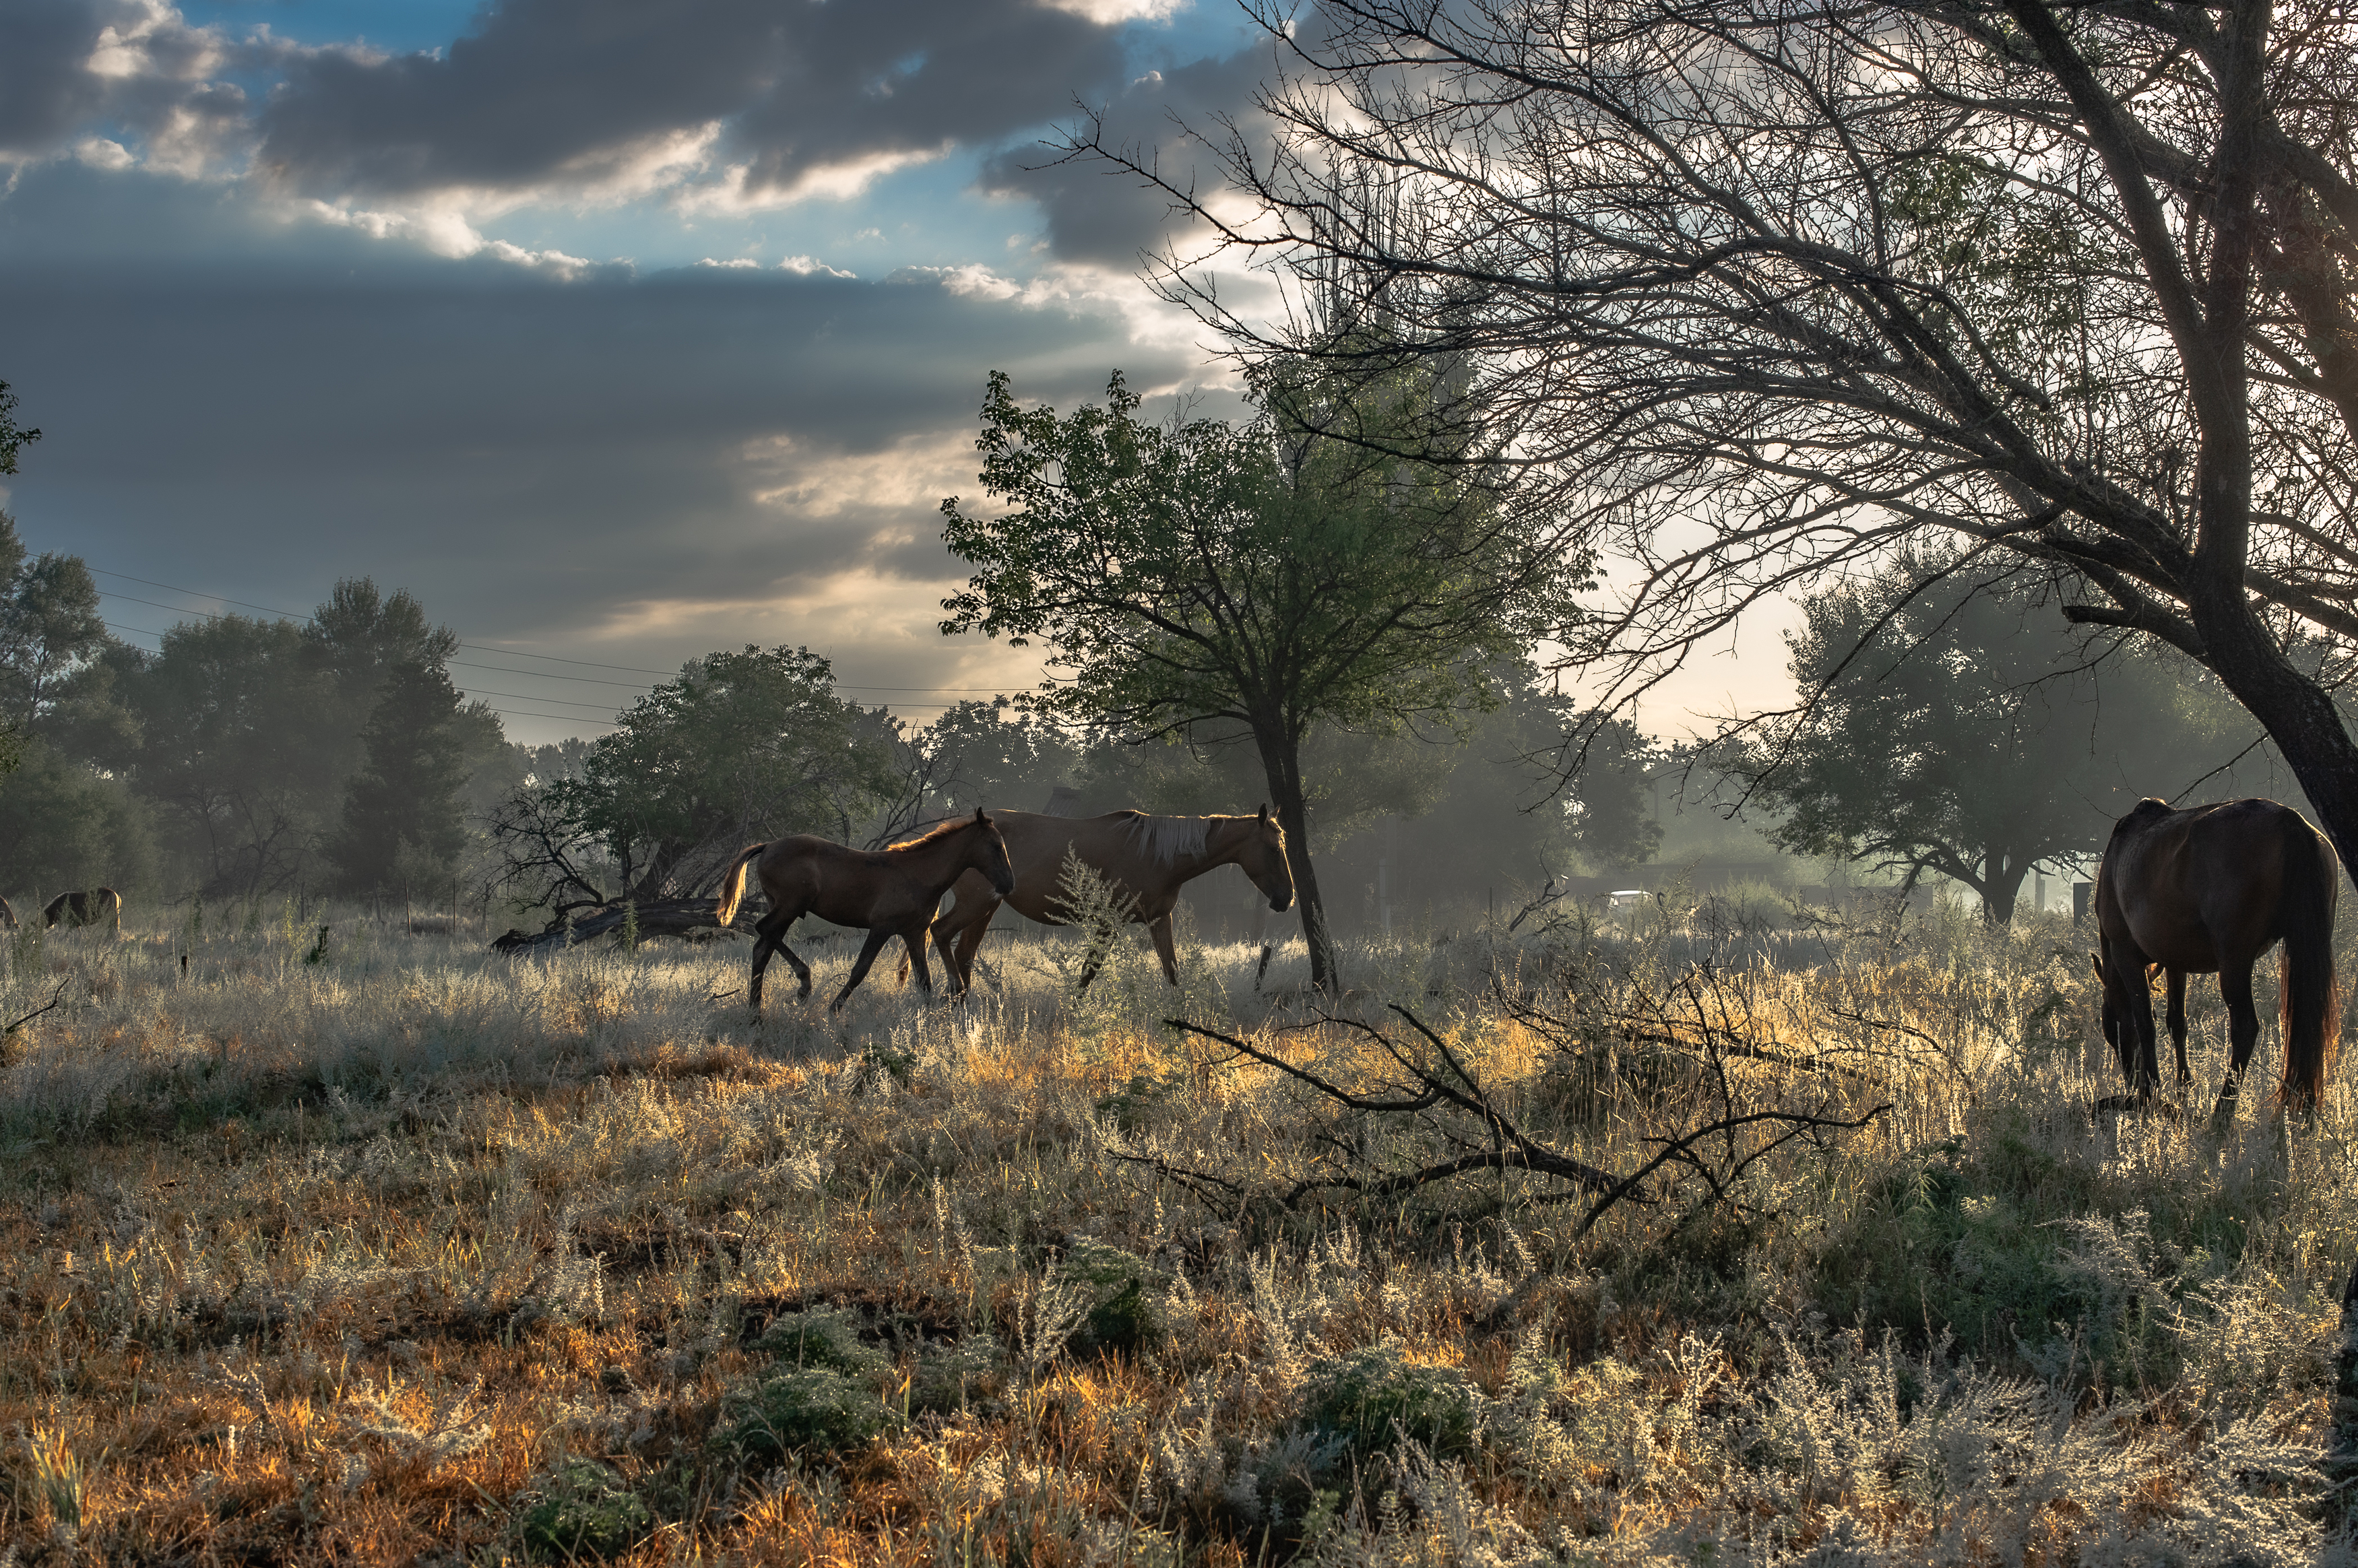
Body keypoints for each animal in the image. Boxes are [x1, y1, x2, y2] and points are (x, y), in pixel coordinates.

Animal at [712, 806, 1019, 1014]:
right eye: (996, 846)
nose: (1009, 884)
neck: (919, 874)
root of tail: (768, 846)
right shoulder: (882, 928)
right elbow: (860, 970)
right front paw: (833, 1009)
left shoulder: (914, 933)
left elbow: (924, 981)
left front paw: (928, 1020)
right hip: (790, 906)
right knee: (764, 933)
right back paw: (801, 985)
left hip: (782, 907)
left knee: (763, 946)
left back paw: (757, 1009)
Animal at [910, 802, 1302, 995]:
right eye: (1273, 848)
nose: (1287, 899)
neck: (1157, 853)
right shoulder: (1109, 923)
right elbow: (1087, 976)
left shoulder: (1159, 920)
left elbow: (1173, 973)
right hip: (976, 905)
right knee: (941, 934)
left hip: (986, 909)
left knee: (964, 954)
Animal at [2103, 797, 2339, 1113]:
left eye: (2111, 1030)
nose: (2131, 1078)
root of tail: (2289, 820)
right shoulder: (2175, 961)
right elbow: (2176, 1022)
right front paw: (2183, 1088)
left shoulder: (2124, 953)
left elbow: (2145, 1022)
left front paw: (2150, 1091)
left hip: (2234, 961)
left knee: (2245, 1027)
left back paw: (2223, 1110)